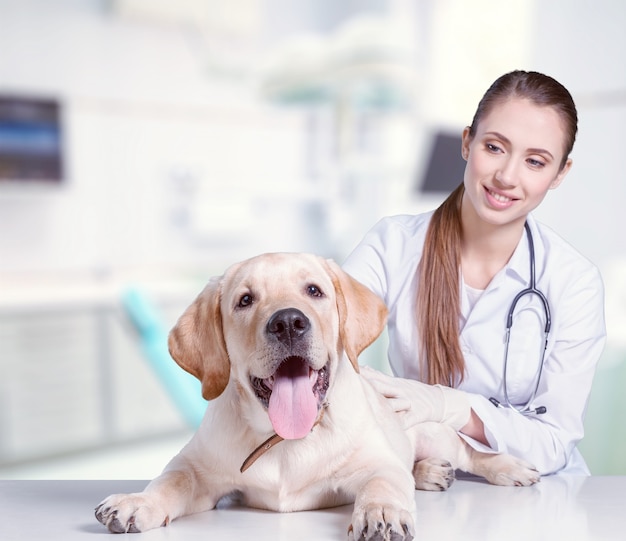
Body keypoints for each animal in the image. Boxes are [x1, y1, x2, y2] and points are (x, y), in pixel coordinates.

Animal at [94, 254, 536, 540]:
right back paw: (429, 473)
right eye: (245, 300)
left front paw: (381, 513)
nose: (288, 322)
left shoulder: (375, 463)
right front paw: (137, 501)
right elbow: (172, 480)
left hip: (431, 430)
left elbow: (383, 482)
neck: (284, 441)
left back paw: (508, 467)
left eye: (314, 291)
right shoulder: (199, 469)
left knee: (469, 452)